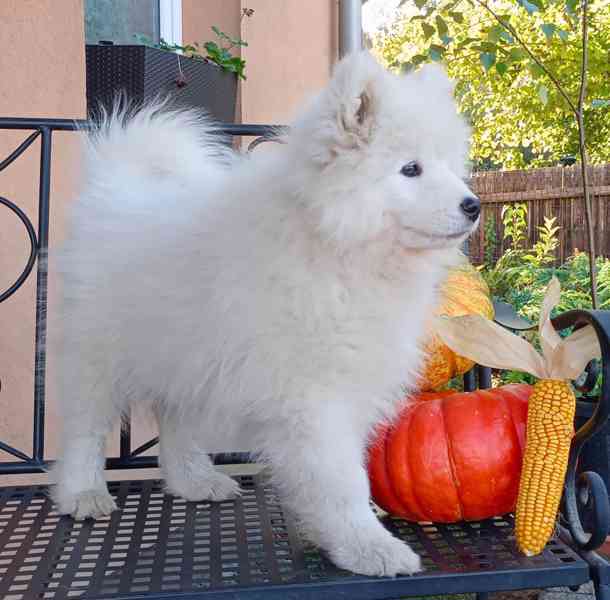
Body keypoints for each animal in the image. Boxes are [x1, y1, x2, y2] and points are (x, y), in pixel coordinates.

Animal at [52, 54, 478, 580]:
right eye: (411, 169)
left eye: (450, 166)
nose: (473, 205)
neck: (336, 247)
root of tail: (116, 185)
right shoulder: (312, 397)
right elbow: (341, 479)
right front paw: (367, 546)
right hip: (98, 353)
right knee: (85, 426)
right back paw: (82, 491)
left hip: (188, 355)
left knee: (174, 419)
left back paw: (194, 480)